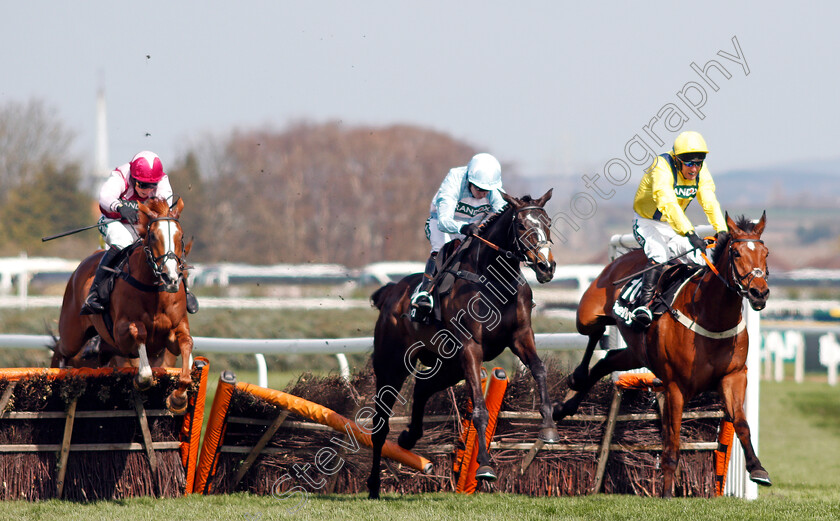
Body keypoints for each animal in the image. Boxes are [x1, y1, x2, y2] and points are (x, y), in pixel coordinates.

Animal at [52, 197, 195, 412]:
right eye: (153, 236)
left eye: (181, 236)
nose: (170, 279)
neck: (154, 291)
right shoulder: (121, 331)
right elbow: (140, 335)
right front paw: (142, 379)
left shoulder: (174, 333)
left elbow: (187, 343)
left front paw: (178, 398)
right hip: (73, 335)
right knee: (60, 350)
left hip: (103, 345)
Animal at [366, 189, 556, 498]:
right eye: (521, 226)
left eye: (548, 223)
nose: (546, 266)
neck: (494, 281)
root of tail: (391, 292)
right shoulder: (470, 348)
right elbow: (479, 408)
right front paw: (485, 467)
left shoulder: (521, 336)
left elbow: (539, 370)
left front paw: (549, 428)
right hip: (391, 366)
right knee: (380, 425)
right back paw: (373, 486)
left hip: (447, 366)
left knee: (422, 388)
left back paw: (409, 437)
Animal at [556, 212, 772, 496]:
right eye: (736, 253)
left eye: (766, 253)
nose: (760, 292)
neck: (712, 317)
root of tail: (624, 258)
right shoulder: (675, 386)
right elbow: (672, 440)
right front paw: (668, 491)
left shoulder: (734, 376)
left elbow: (742, 424)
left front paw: (758, 469)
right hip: (587, 315)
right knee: (595, 333)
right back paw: (576, 378)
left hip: (637, 353)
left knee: (607, 360)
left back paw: (565, 405)